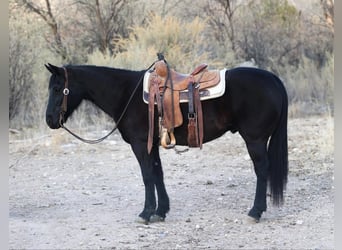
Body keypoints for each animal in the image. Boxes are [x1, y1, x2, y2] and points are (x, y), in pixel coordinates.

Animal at [44, 62, 288, 223]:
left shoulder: (140, 144)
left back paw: (255, 211)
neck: (126, 94)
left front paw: (146, 213)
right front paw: (161, 211)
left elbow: (147, 176)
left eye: (57, 88)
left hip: (255, 140)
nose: (49, 120)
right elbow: (157, 174)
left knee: (262, 169)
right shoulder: (152, 145)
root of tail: (274, 80)